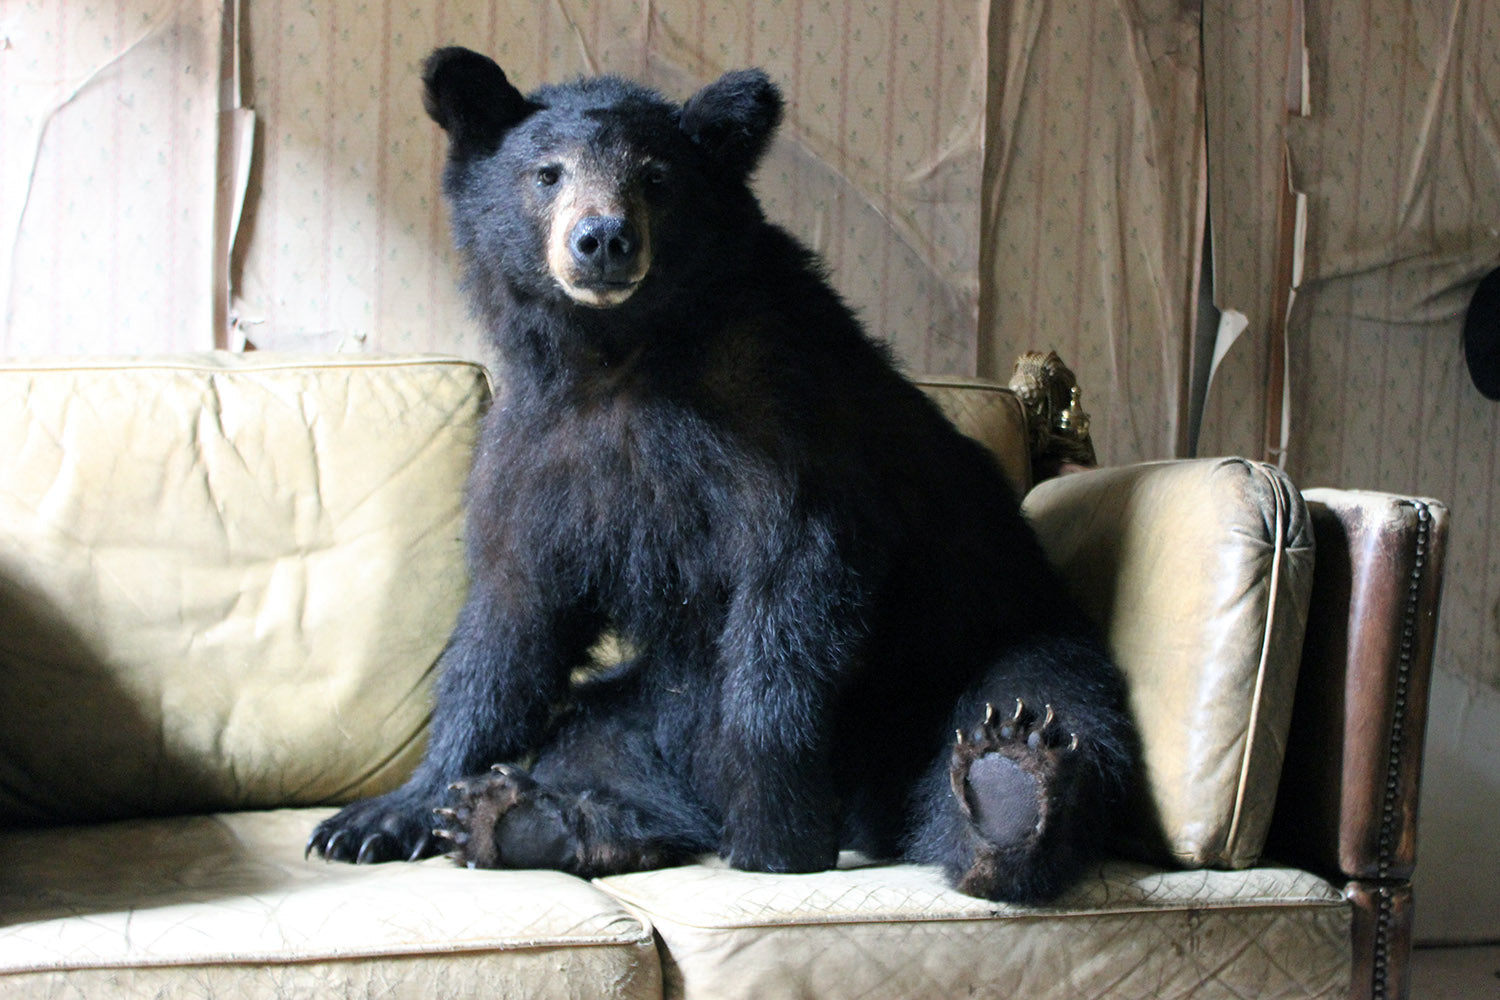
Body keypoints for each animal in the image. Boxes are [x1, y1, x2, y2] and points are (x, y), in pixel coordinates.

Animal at [305, 46, 1137, 904]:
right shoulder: (542, 455)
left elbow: (791, 604)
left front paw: (776, 833)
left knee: (1049, 705)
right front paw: (387, 813)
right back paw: (529, 820)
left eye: (656, 176)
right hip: (651, 692)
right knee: (602, 738)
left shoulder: (779, 427)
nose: (603, 239)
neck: (619, 356)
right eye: (546, 172)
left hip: (999, 637)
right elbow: (508, 623)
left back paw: (1009, 794)